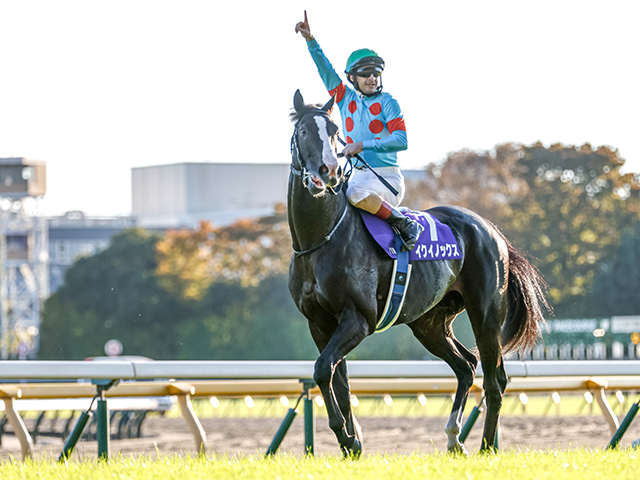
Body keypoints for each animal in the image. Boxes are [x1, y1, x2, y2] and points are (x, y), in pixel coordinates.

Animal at [286, 91, 552, 458]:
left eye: (335, 132)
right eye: (302, 132)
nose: (329, 173)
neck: (320, 238)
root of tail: (492, 230)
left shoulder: (358, 319)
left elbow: (323, 369)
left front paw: (346, 437)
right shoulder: (320, 323)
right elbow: (336, 380)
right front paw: (351, 444)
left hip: (486, 314)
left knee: (495, 379)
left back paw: (486, 447)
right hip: (429, 323)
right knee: (466, 366)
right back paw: (454, 437)